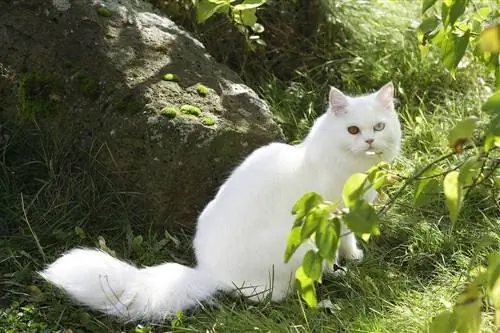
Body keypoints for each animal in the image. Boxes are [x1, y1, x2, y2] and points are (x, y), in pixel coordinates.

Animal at [41, 81, 404, 322]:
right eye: (353, 130)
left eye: (378, 127)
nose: (369, 141)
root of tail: (208, 272)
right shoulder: (336, 216)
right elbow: (343, 244)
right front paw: (348, 264)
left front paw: (351, 261)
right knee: (262, 296)